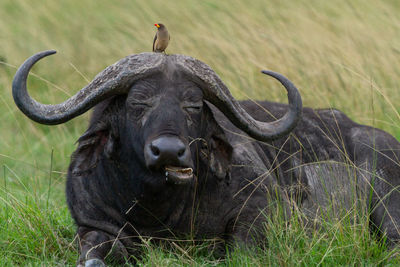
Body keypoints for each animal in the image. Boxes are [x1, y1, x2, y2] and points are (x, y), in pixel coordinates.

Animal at [12, 51, 400, 266]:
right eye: (138, 102)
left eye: (193, 105)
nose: (169, 150)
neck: (158, 209)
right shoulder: (93, 225)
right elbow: (93, 254)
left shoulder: (263, 212)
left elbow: (240, 250)